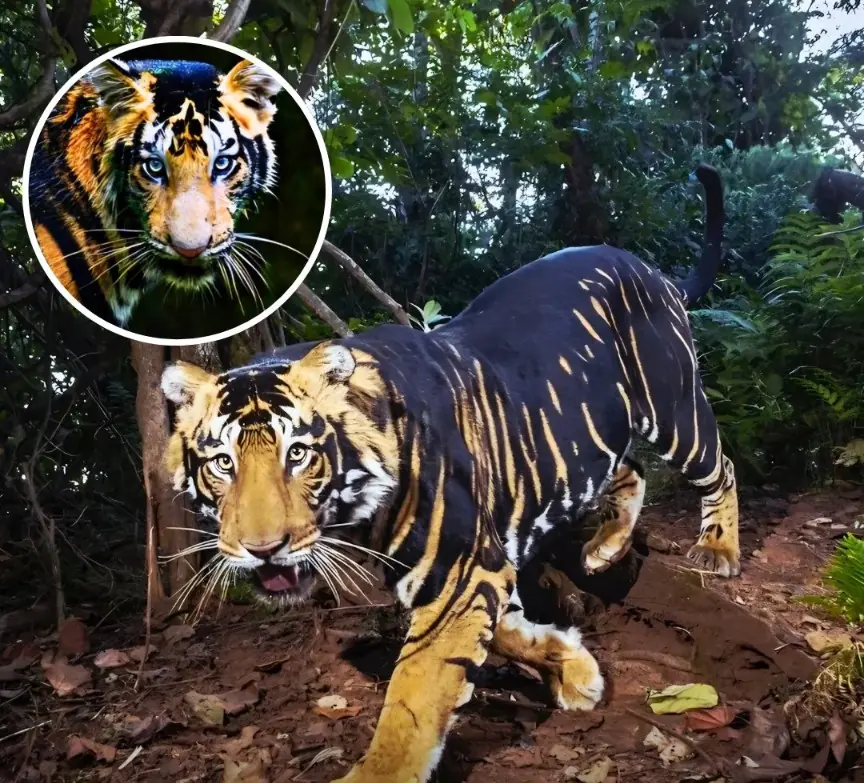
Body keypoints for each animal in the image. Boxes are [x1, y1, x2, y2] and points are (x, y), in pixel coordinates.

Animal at [161, 164, 737, 783]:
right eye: (223, 462)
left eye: (298, 454)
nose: (263, 549)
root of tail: (650, 269)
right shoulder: (474, 570)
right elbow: (507, 631)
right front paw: (574, 668)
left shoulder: (460, 573)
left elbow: (413, 698)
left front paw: (378, 771)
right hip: (592, 428)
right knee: (628, 467)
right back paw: (605, 547)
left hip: (673, 406)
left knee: (719, 466)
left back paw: (718, 550)